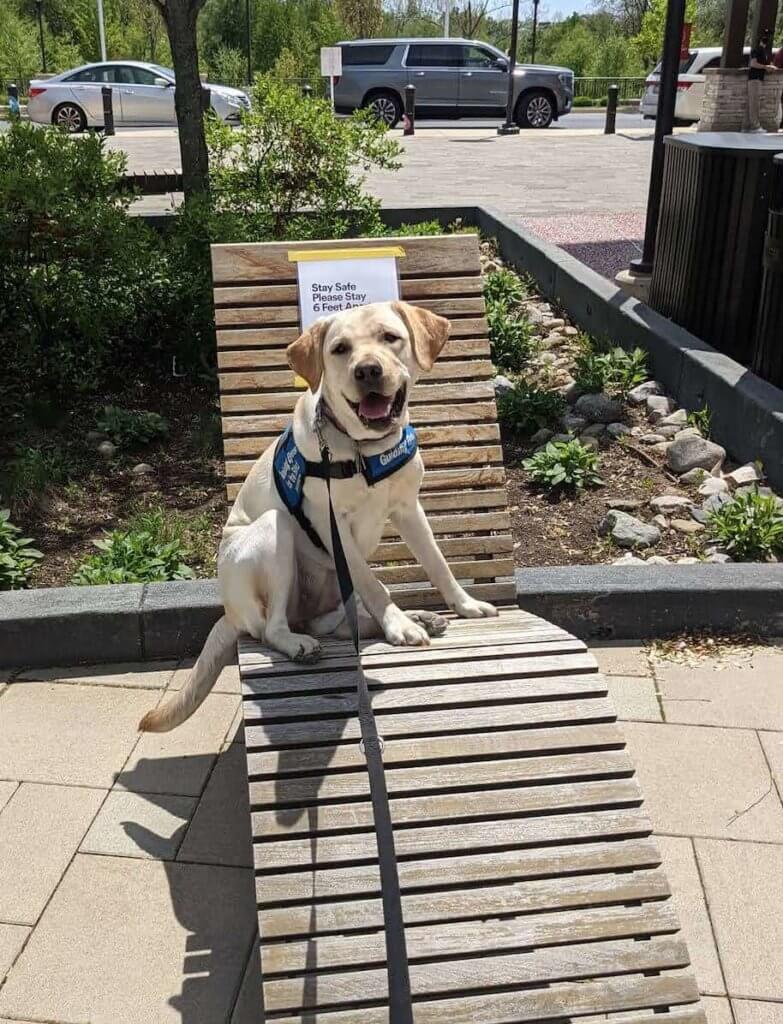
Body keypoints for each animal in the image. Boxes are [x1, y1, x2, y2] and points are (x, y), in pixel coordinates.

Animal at [139, 299, 495, 733]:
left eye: (390, 337)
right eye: (340, 348)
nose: (367, 370)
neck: (363, 449)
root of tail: (229, 612)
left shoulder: (409, 508)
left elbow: (438, 563)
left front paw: (464, 604)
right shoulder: (332, 524)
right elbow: (374, 584)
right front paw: (399, 625)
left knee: (342, 623)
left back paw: (421, 615)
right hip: (273, 535)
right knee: (272, 628)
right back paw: (302, 643)